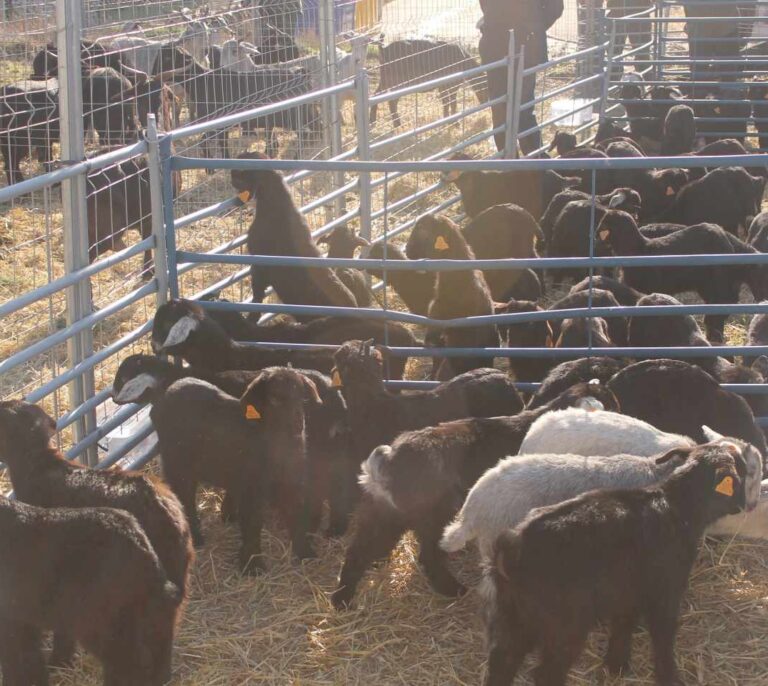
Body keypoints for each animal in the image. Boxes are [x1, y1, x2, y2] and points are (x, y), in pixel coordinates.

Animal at [331, 381, 619, 608]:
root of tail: (390, 460)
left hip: (384, 513)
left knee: (359, 550)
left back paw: (342, 598)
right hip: (432, 515)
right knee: (428, 556)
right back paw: (452, 588)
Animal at [482, 444, 748, 686]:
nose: (744, 505)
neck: (676, 506)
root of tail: (513, 544)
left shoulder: (627, 589)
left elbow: (624, 622)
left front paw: (616, 664)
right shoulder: (666, 590)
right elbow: (662, 635)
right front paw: (669, 677)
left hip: (512, 618)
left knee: (501, 661)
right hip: (563, 625)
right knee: (546, 673)